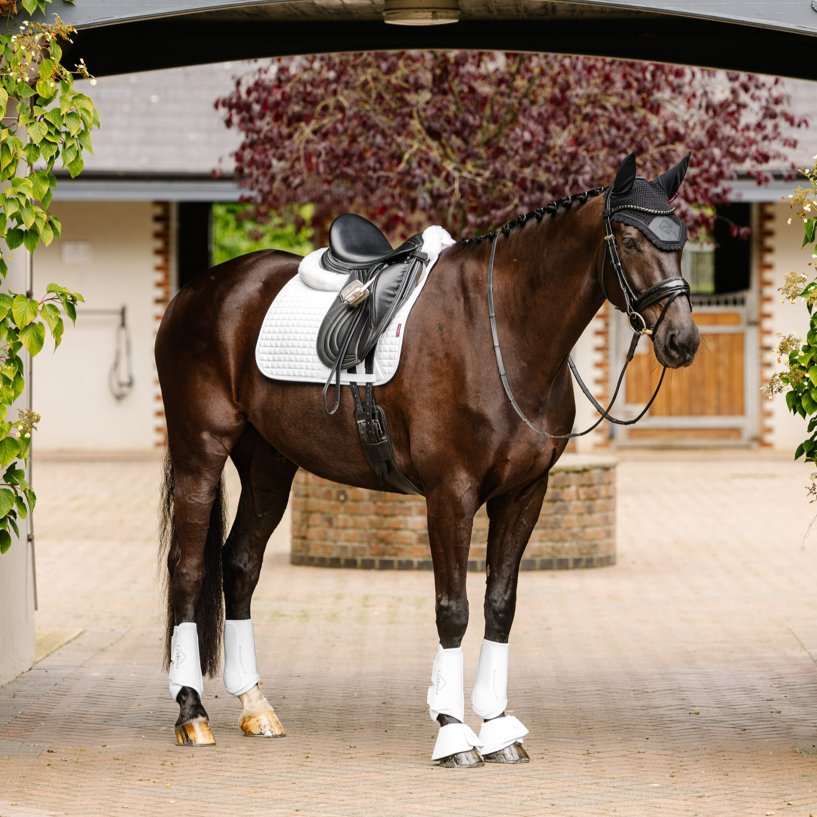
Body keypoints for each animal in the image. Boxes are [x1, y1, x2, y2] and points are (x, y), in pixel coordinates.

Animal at [156, 151, 700, 764]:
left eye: (681, 239)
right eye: (629, 239)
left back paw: (255, 706)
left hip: (270, 464)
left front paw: (499, 727)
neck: (499, 332)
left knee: (240, 563)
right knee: (188, 566)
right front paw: (453, 729)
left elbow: (499, 604)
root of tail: (202, 290)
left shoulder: (524, 494)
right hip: (201, 449)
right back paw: (191, 712)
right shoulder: (450, 494)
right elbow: (453, 607)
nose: (682, 340)